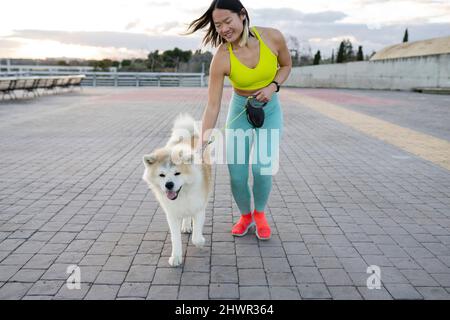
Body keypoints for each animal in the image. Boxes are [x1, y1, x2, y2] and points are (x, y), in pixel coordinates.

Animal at [142, 114, 212, 266]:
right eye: (162, 175)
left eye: (177, 173)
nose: (169, 185)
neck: (182, 195)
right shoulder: (172, 214)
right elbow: (175, 238)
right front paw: (176, 257)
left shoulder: (199, 209)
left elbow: (196, 237)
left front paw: (200, 242)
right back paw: (186, 226)